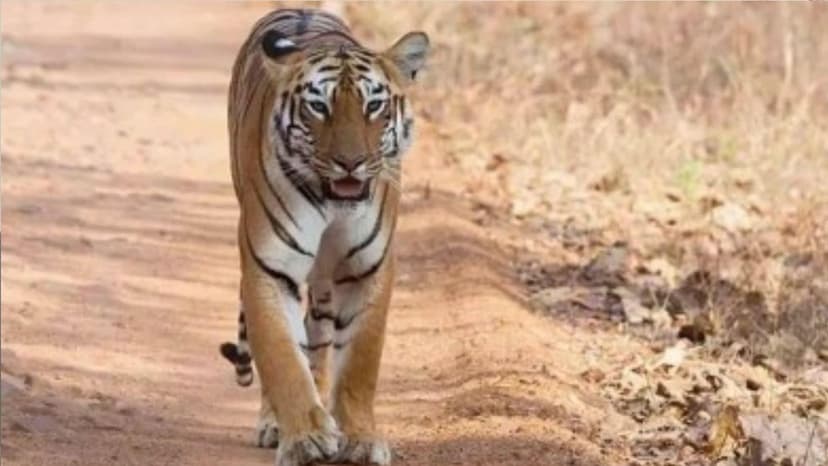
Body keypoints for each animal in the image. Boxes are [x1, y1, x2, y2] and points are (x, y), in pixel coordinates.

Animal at [217, 8, 429, 466]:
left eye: (373, 106)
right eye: (318, 106)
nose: (351, 163)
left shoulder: (368, 269)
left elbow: (360, 363)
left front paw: (359, 439)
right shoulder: (269, 268)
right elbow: (281, 356)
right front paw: (305, 439)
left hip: (325, 282)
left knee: (318, 336)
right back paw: (276, 424)